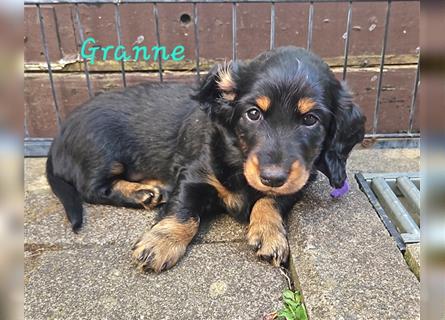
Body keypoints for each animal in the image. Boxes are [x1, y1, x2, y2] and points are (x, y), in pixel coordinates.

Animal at [46, 47, 364, 272]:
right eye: (253, 113)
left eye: (311, 120)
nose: (272, 177)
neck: (238, 155)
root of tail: (58, 136)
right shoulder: (194, 175)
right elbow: (184, 211)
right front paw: (161, 242)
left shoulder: (297, 181)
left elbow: (270, 200)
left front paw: (269, 231)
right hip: (102, 151)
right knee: (92, 189)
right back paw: (141, 193)